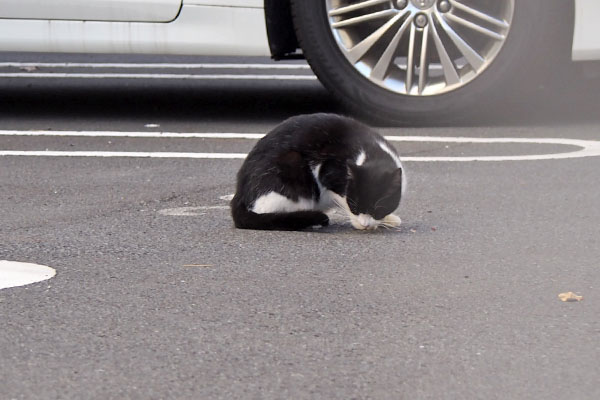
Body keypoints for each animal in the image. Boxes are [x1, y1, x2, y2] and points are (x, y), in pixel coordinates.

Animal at [232, 112, 406, 231]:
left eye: (377, 209)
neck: (371, 151)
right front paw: (357, 222)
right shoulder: (328, 174)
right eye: (354, 207)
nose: (365, 224)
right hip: (291, 167)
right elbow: (340, 197)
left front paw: (388, 219)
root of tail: (239, 193)